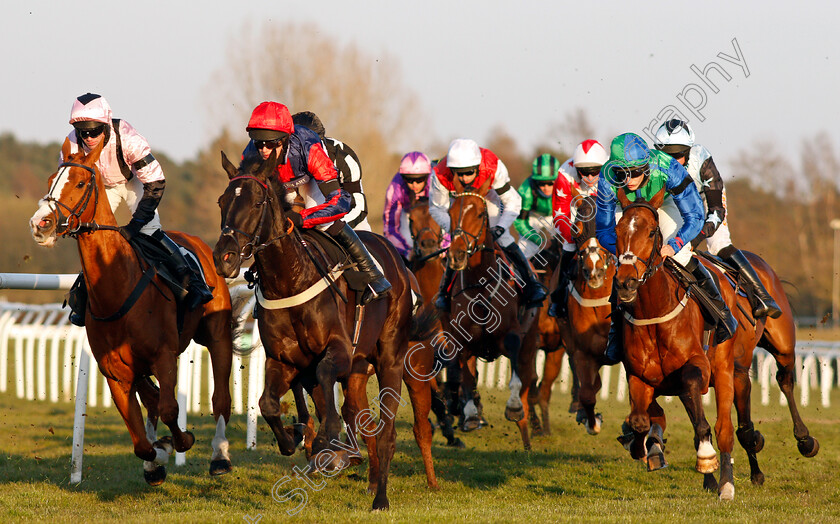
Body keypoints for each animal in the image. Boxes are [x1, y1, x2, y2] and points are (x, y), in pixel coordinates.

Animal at [29, 138, 233, 484]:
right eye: (49, 182)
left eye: (80, 183)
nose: (39, 223)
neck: (117, 286)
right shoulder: (115, 369)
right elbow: (140, 439)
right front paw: (156, 458)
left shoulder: (164, 355)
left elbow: (170, 408)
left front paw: (180, 441)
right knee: (151, 399)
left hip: (216, 335)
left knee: (220, 398)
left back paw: (220, 456)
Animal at [210, 149, 434, 510]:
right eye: (222, 201)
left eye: (257, 202)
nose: (225, 257)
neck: (290, 277)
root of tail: (400, 265)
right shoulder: (285, 361)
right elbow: (268, 403)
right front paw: (293, 439)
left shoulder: (339, 350)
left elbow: (327, 378)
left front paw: (327, 439)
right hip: (358, 370)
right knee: (358, 413)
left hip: (391, 358)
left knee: (387, 431)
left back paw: (380, 497)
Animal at [440, 175, 540, 450]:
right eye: (450, 212)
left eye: (479, 214)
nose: (456, 254)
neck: (480, 284)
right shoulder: (462, 340)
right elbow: (467, 378)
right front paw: (471, 415)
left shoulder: (512, 337)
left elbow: (516, 381)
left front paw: (514, 407)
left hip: (531, 343)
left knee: (527, 381)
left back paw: (527, 441)